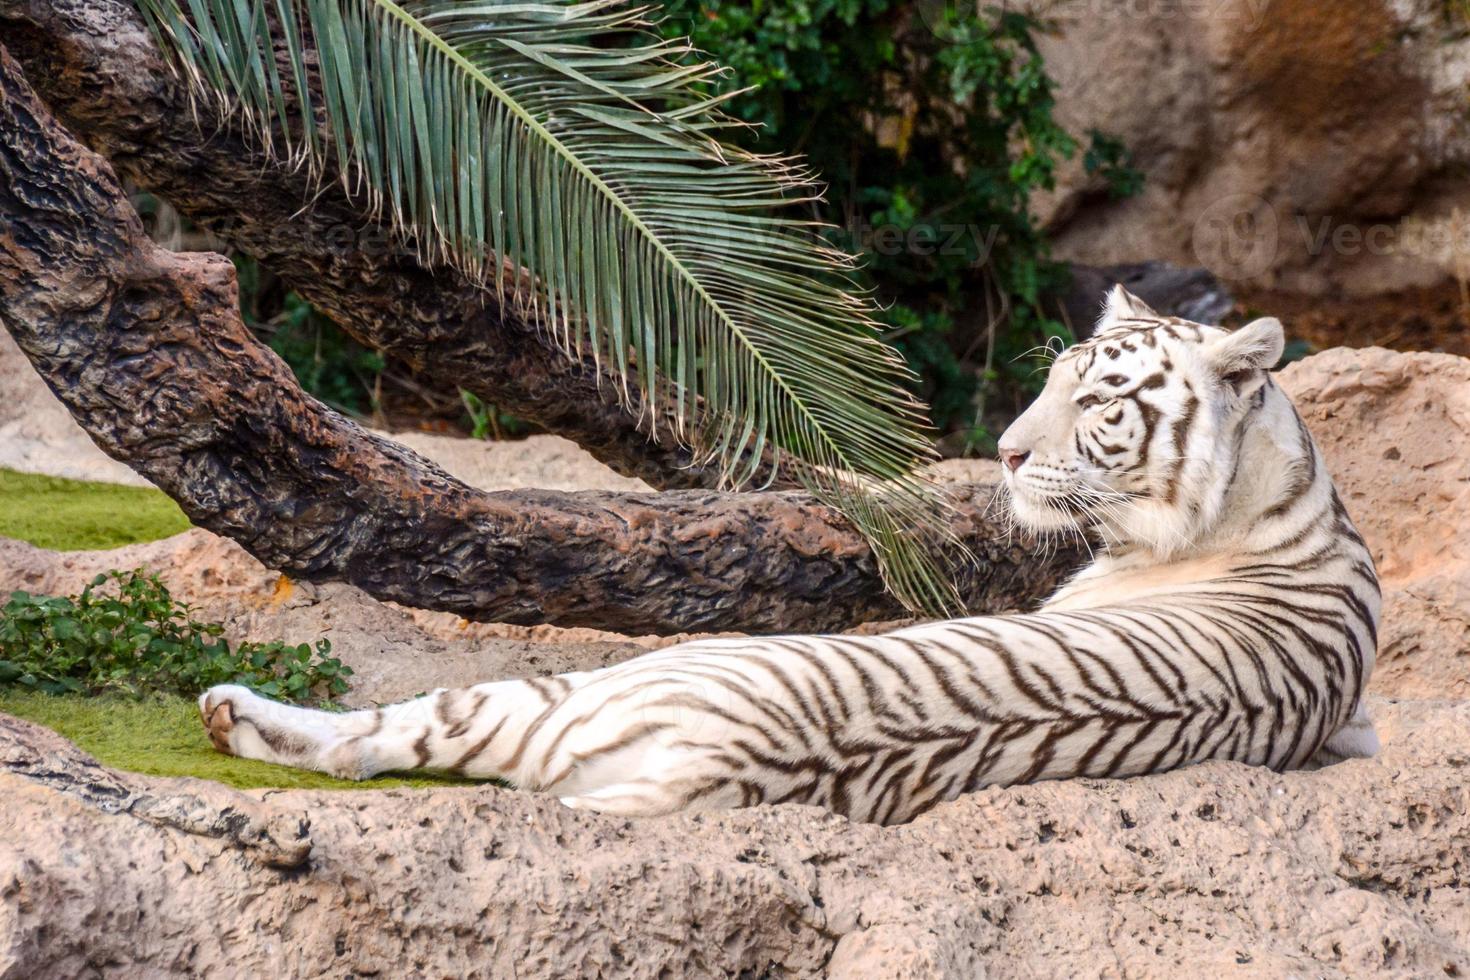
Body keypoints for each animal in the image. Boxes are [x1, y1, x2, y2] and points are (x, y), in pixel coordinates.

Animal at [195, 287, 1375, 822]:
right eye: (1055, 377)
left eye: (1096, 403)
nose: (1002, 451)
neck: (1287, 501)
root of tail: (728, 762)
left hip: (594, 682)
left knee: (379, 735)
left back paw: (233, 711)